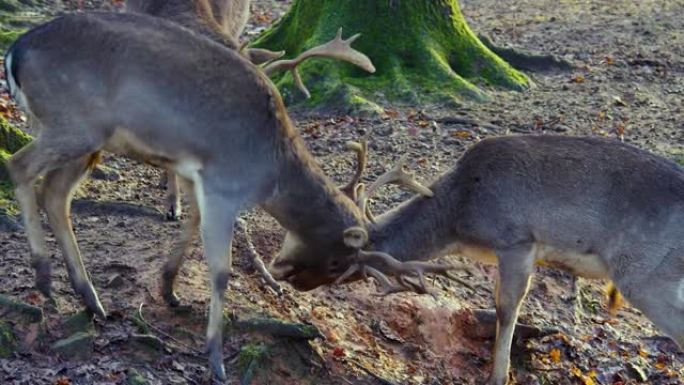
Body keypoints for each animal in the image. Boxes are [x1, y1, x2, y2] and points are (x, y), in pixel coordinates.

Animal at [2, 12, 446, 380]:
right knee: (20, 166)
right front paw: (215, 358)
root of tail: (14, 51)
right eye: (338, 261)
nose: (301, 285)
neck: (270, 168)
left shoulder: (197, 177)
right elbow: (221, 270)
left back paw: (89, 298)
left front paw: (170, 290)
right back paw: (44, 274)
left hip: (88, 139)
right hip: (74, 124)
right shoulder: (224, 182)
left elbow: (190, 223)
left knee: (54, 194)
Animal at [272, 134, 684, 384]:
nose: (283, 270)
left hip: (646, 273)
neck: (460, 220)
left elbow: (507, 309)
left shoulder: (516, 239)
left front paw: (498, 376)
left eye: (335, 261)